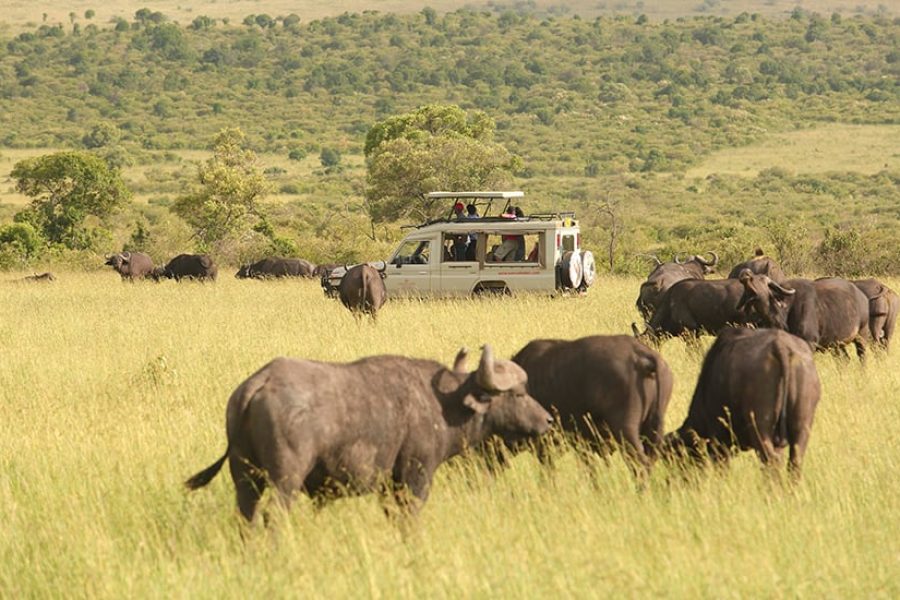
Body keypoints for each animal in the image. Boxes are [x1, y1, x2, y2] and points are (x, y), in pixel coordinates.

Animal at [184, 344, 552, 524]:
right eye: (519, 393)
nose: (548, 420)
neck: (442, 402)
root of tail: (259, 382)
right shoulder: (416, 477)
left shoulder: (389, 487)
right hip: (284, 478)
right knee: (274, 514)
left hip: (245, 477)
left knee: (245, 514)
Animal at [664, 326, 820, 476]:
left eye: (676, 457)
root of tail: (780, 346)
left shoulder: (719, 439)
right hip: (802, 425)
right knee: (794, 462)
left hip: (759, 426)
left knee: (769, 460)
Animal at [740, 274, 872, 360]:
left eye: (762, 281)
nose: (746, 279)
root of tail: (862, 297)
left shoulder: (809, 342)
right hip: (837, 345)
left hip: (862, 335)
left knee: (862, 357)